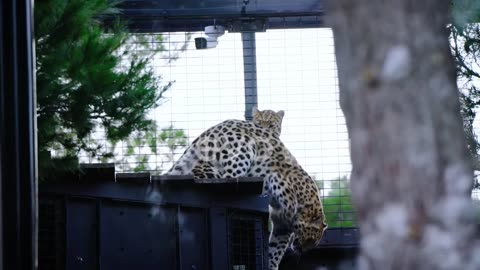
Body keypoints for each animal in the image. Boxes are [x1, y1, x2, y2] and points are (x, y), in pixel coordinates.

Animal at [165, 108, 326, 270]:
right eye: (311, 239)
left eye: (312, 243)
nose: (301, 250)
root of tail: (210, 130)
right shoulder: (283, 187)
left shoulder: (282, 226)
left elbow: (276, 248)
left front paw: (271, 264)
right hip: (243, 152)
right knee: (226, 178)